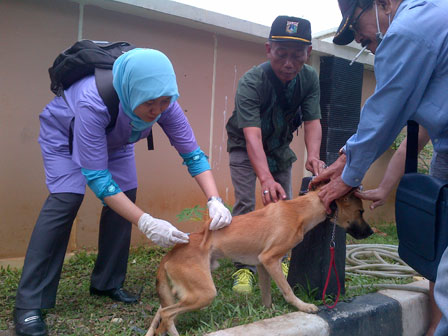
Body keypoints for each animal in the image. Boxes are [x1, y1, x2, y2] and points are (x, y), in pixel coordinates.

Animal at [145, 190, 372, 334]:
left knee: (162, 314)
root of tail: (169, 254)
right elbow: (287, 290)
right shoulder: (270, 259)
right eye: (361, 211)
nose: (371, 232)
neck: (299, 210)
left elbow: (266, 295)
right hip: (203, 293)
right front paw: (303, 306)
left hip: (186, 291)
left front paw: (268, 314)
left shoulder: (263, 264)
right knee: (166, 314)